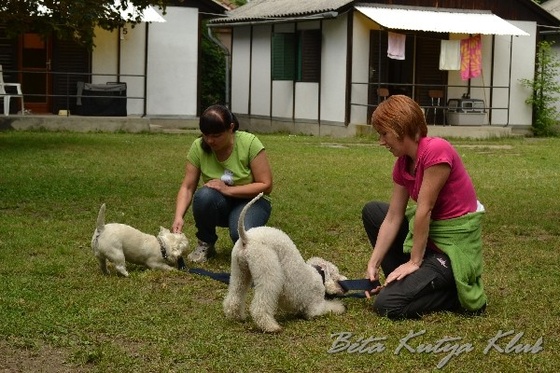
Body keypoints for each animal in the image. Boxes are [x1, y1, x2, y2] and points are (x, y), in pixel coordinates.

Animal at [222, 192, 346, 332]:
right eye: (336, 274)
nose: (345, 285)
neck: (319, 274)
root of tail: (246, 238)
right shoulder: (315, 307)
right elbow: (329, 308)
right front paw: (340, 307)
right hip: (268, 268)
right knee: (260, 305)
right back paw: (271, 327)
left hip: (239, 270)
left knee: (235, 293)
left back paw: (236, 316)